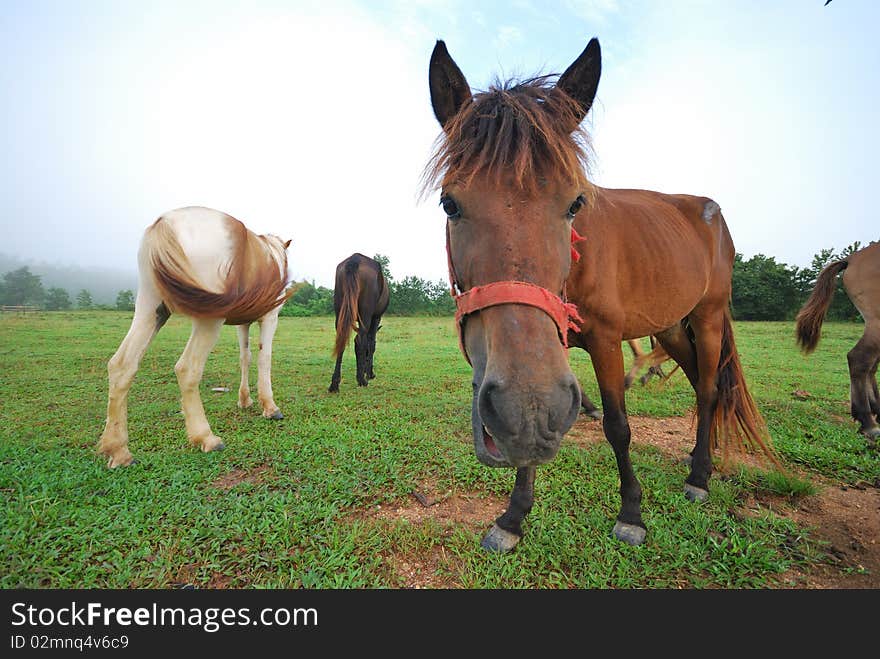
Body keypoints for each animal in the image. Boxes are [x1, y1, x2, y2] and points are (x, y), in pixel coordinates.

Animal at [97, 206, 292, 470]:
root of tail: (166, 222)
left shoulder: (243, 322)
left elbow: (245, 357)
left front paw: (245, 400)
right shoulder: (270, 318)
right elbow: (264, 358)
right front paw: (270, 407)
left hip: (151, 306)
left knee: (122, 365)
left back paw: (118, 450)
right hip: (209, 316)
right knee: (187, 368)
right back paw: (206, 437)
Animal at [326, 254, 388, 392]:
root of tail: (355, 260)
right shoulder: (376, 318)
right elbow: (371, 344)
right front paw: (369, 373)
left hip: (340, 311)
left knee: (342, 340)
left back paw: (334, 384)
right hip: (366, 314)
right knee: (361, 341)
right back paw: (361, 380)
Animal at [424, 36, 776, 552]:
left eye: (575, 203)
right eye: (449, 203)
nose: (522, 406)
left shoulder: (606, 343)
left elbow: (618, 426)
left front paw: (632, 513)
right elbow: (535, 439)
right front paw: (513, 518)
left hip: (708, 318)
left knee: (710, 390)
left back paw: (700, 478)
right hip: (670, 328)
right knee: (697, 385)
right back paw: (700, 460)